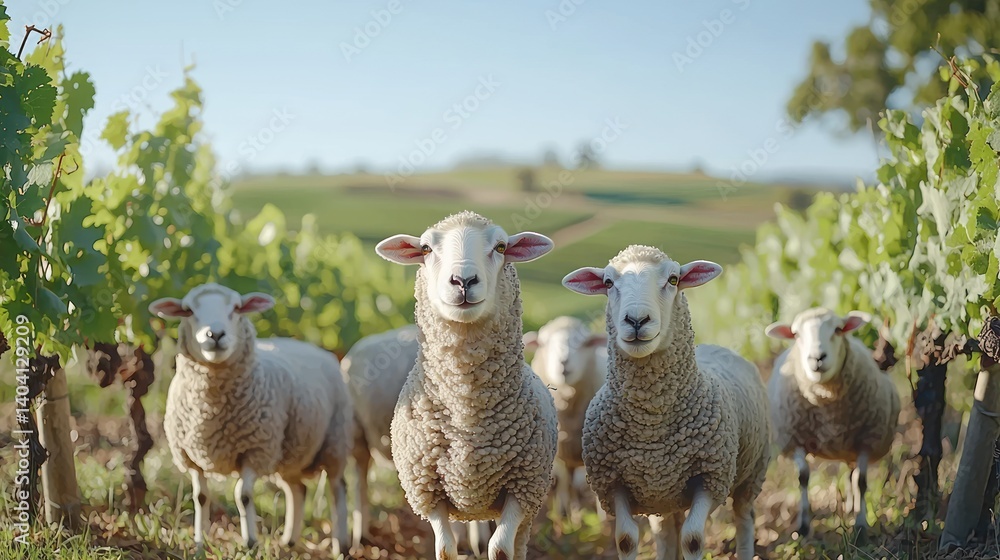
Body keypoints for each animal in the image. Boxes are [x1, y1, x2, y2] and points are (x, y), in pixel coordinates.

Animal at [149, 283, 353, 555]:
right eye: (188, 310)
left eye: (236, 308)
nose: (215, 334)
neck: (210, 412)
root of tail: (312, 347)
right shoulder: (191, 458)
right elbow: (200, 498)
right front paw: (200, 543)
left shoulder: (255, 451)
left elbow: (242, 496)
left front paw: (250, 543)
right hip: (290, 452)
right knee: (297, 489)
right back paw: (289, 540)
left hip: (335, 442)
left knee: (337, 488)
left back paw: (340, 544)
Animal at [375, 210, 558, 560]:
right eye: (426, 249)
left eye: (500, 247)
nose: (463, 281)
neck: (467, 414)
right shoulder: (427, 490)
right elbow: (446, 549)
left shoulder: (521, 488)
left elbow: (500, 549)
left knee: (516, 542)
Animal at [523, 316, 607, 522]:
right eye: (545, 343)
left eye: (584, 344)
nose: (564, 362)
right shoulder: (559, 450)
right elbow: (563, 486)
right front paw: (565, 517)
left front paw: (603, 520)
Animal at [563, 245, 770, 560]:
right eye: (608, 283)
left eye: (673, 279)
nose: (637, 320)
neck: (652, 426)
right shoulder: (614, 484)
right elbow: (625, 539)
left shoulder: (710, 479)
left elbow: (693, 539)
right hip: (663, 495)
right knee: (667, 532)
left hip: (750, 475)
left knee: (744, 518)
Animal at [765, 307, 900, 537]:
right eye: (796, 334)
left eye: (838, 329)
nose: (817, 358)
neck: (825, 401)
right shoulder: (795, 438)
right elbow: (803, 477)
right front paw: (803, 526)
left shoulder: (866, 441)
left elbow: (861, 482)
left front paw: (861, 526)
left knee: (853, 476)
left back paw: (853, 508)